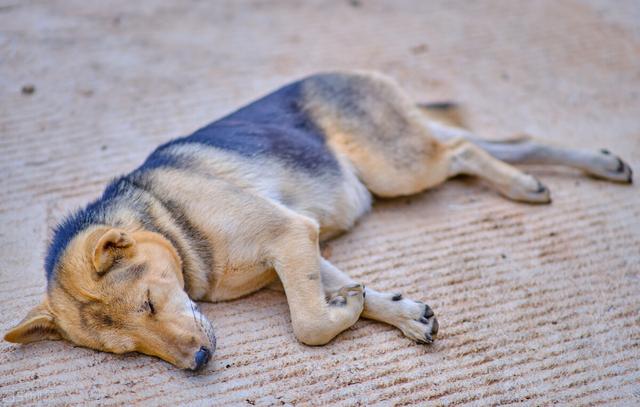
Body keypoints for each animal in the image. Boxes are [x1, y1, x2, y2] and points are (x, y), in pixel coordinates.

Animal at [5, 71, 632, 372]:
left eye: (151, 305)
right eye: (128, 350)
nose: (200, 364)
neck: (170, 222)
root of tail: (348, 71)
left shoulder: (289, 235)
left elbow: (307, 322)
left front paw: (346, 313)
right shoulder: (298, 245)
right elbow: (349, 290)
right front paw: (395, 312)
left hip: (397, 167)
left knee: (465, 151)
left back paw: (523, 184)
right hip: (404, 155)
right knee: (500, 141)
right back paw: (589, 166)